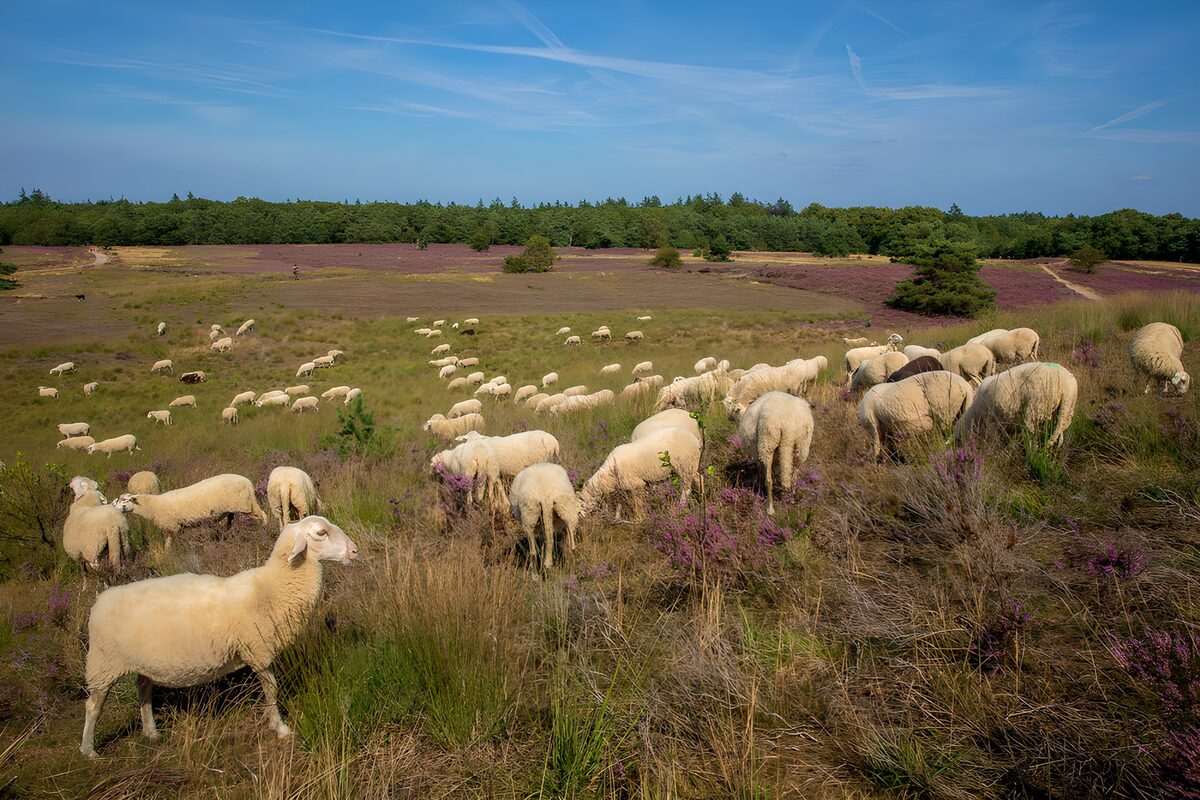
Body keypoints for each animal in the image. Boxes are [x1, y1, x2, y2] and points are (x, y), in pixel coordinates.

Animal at [79, 515, 357, 758]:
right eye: (321, 533)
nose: (355, 551)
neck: (272, 587)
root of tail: (99, 601)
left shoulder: (258, 650)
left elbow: (269, 690)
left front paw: (271, 722)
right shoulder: (258, 649)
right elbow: (272, 689)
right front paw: (280, 728)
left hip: (142, 662)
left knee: (143, 690)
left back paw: (151, 732)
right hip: (104, 663)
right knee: (93, 706)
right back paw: (88, 750)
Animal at [114, 474, 268, 534]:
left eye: (125, 500)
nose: (115, 509)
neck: (153, 506)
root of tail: (247, 482)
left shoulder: (172, 527)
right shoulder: (177, 527)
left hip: (246, 504)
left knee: (263, 515)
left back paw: (264, 529)